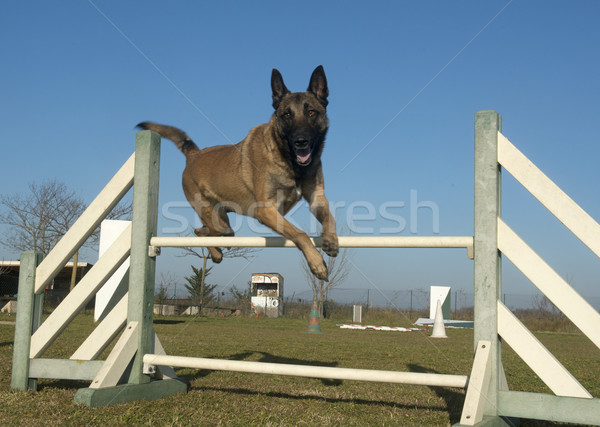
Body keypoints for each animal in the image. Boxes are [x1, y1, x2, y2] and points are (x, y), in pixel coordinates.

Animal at [138, 65, 340, 280]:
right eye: (286, 115)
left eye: (311, 112)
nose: (300, 141)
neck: (291, 162)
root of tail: (194, 154)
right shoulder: (266, 210)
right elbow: (299, 233)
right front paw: (316, 262)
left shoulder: (317, 198)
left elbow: (329, 215)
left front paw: (330, 239)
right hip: (218, 222)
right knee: (202, 232)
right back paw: (216, 253)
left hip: (223, 222)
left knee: (202, 231)